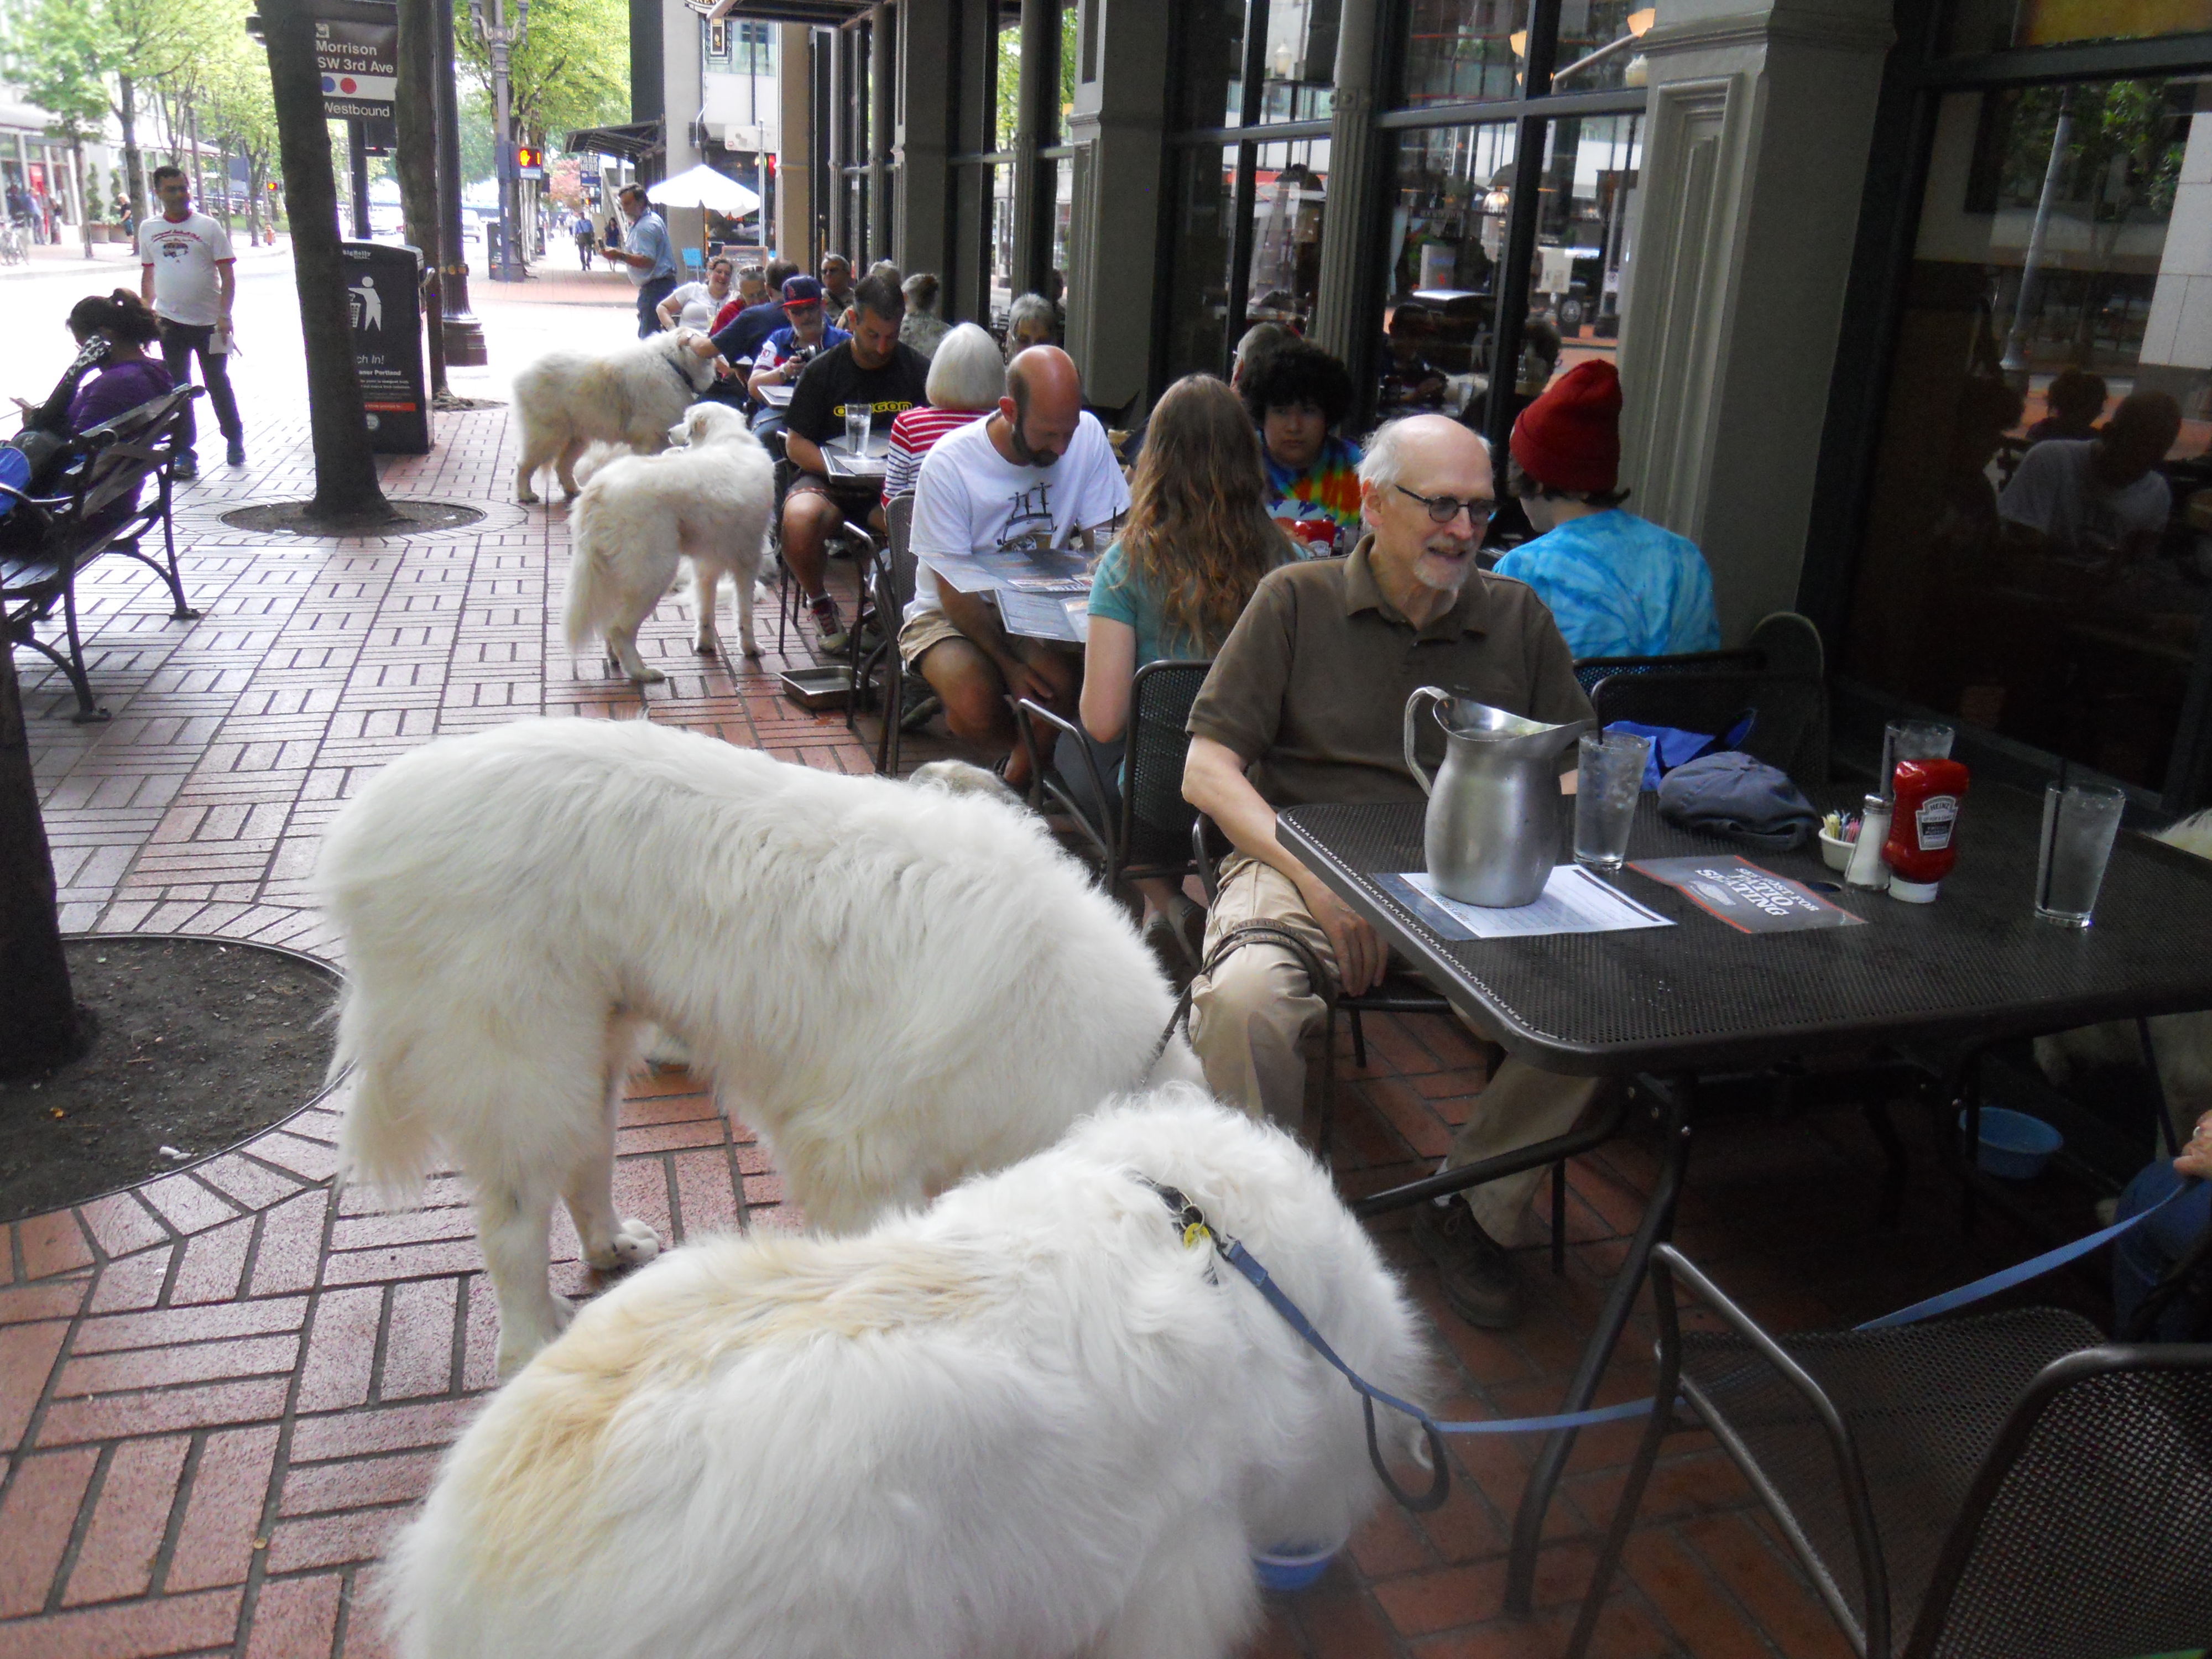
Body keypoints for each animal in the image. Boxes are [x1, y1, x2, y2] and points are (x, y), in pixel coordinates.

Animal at [318, 718, 1204, 1377]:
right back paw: (533, 1338)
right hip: (521, 1065)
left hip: (594, 1046)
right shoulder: (858, 1155)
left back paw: (613, 1243)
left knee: (587, 1162)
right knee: (513, 1225)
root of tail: (364, 826)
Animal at [512, 328, 722, 504]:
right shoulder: (650, 436)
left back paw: (575, 491)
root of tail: (524, 372)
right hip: (548, 434)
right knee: (524, 465)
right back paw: (526, 495)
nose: (713, 339)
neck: (673, 364)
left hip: (576, 437)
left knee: (563, 466)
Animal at [564, 403, 776, 680]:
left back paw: (616, 660)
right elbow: (745, 613)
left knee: (609, 624)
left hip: (616, 573)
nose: (668, 432)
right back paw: (642, 672)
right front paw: (750, 649)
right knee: (620, 629)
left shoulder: (706, 565)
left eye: (685, 421)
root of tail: (597, 487)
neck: (727, 437)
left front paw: (705, 645)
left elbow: (705, 609)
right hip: (654, 574)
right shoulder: (747, 561)